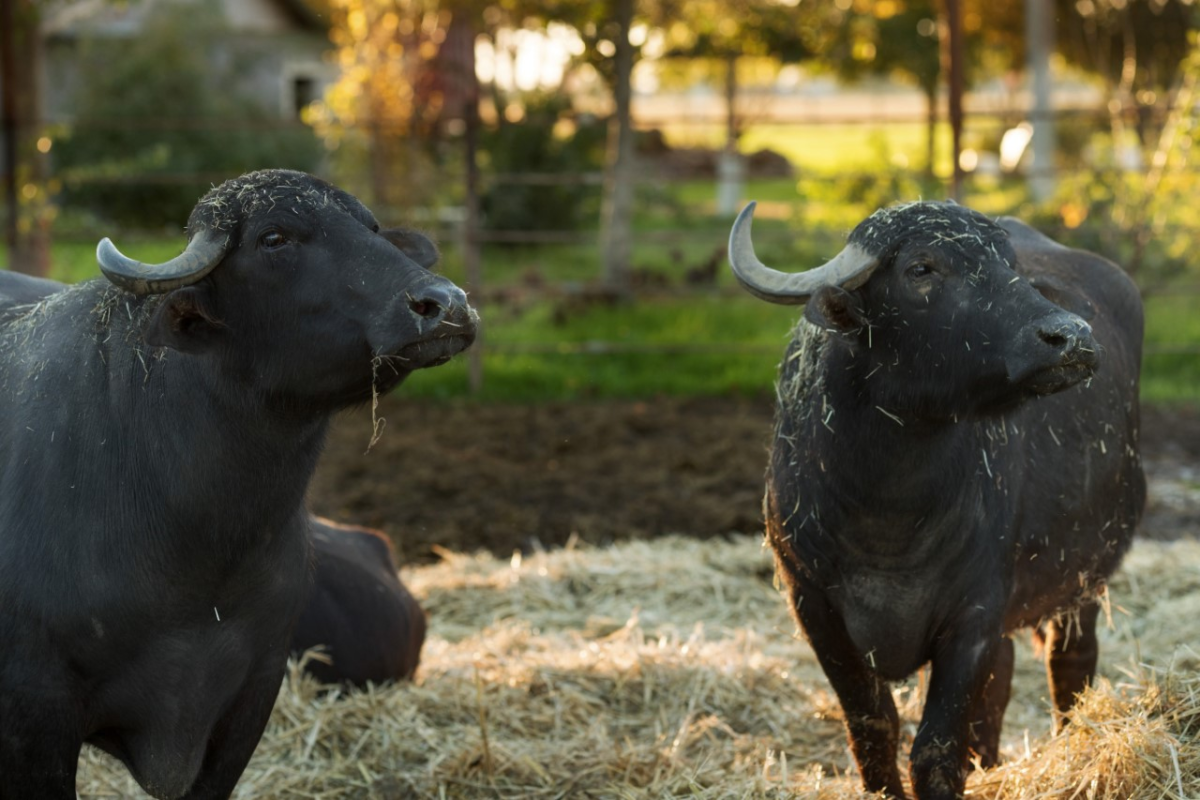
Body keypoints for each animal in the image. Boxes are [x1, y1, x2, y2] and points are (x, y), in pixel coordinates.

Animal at [729, 201, 1142, 800]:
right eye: (921, 269)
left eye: (1009, 264)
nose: (1071, 337)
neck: (886, 507)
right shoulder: (813, 605)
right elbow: (874, 726)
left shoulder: (974, 612)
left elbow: (936, 749)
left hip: (1085, 576)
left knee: (1070, 663)